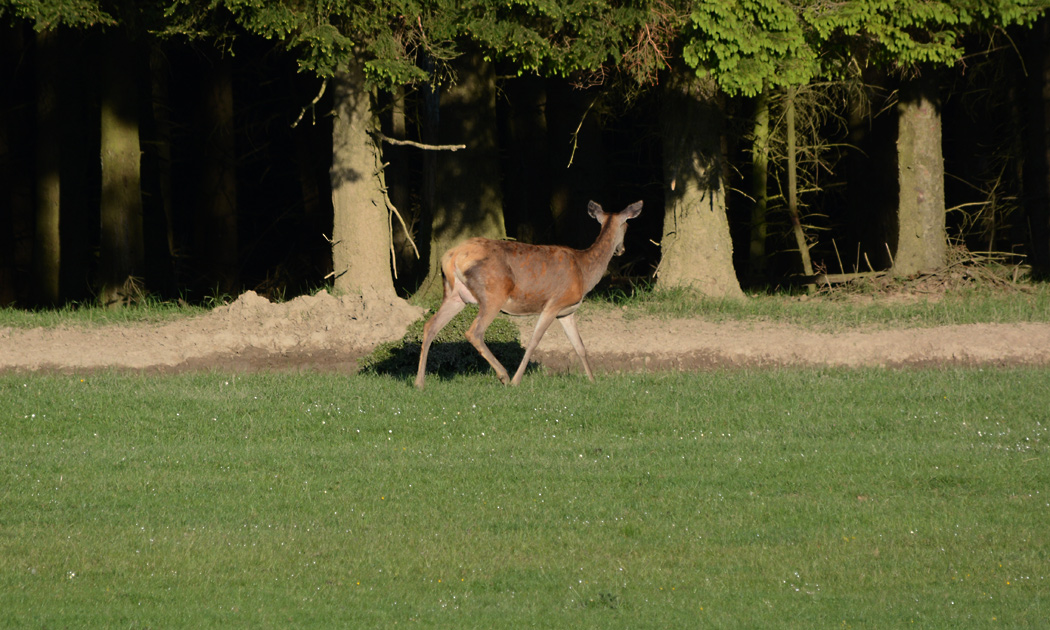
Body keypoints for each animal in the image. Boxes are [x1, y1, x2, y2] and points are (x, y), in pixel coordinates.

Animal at [415, 201, 642, 388]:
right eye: (627, 226)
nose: (621, 250)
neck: (584, 272)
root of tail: (451, 257)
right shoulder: (554, 303)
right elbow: (534, 341)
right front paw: (517, 380)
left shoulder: (567, 311)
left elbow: (580, 346)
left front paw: (593, 381)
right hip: (493, 293)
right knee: (474, 332)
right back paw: (504, 376)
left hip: (455, 294)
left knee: (430, 326)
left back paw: (419, 382)